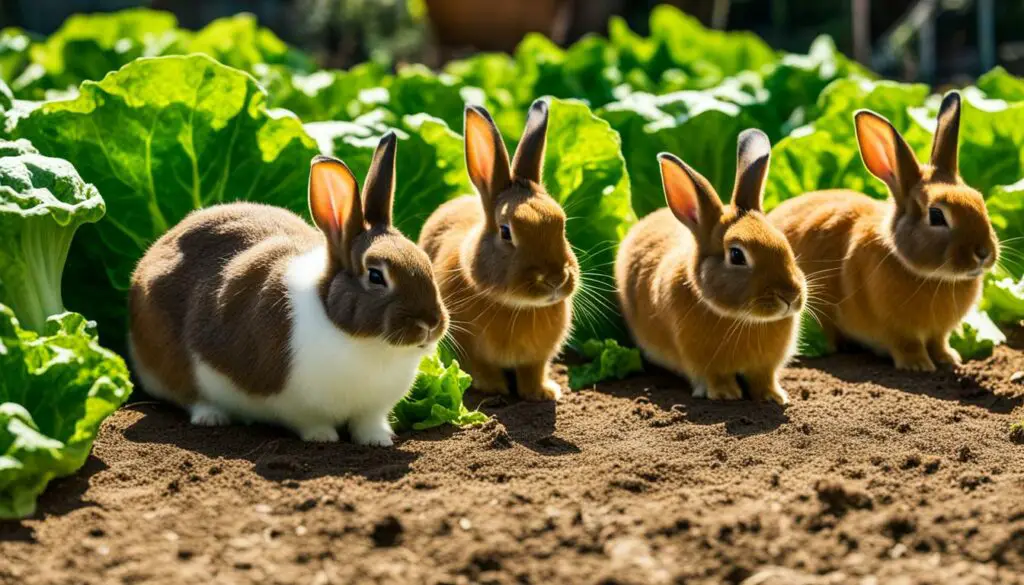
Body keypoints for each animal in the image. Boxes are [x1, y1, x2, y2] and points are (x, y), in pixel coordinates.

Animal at [128, 133, 448, 444]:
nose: (431, 323)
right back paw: (212, 416)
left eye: (425, 261)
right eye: (376, 276)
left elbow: (368, 424)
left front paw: (379, 440)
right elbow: (311, 423)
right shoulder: (298, 406)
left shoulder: (371, 410)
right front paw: (323, 438)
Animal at [415, 99, 577, 403]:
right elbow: (482, 368)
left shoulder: (537, 358)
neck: (516, 307)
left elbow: (534, 370)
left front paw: (542, 393)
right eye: (505, 231)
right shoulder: (469, 348)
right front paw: (495, 390)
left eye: (562, 225)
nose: (554, 280)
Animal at [614, 128, 806, 405]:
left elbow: (764, 378)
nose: (790, 297)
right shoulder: (704, 364)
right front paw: (726, 395)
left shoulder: (765, 367)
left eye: (784, 242)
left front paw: (772, 397)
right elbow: (715, 378)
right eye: (736, 255)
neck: (741, 318)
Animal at [770, 93, 995, 372]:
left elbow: (939, 342)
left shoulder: (938, 333)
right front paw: (919, 365)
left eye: (980, 200)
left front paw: (949, 359)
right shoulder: (897, 331)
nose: (984, 253)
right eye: (936, 215)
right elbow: (907, 345)